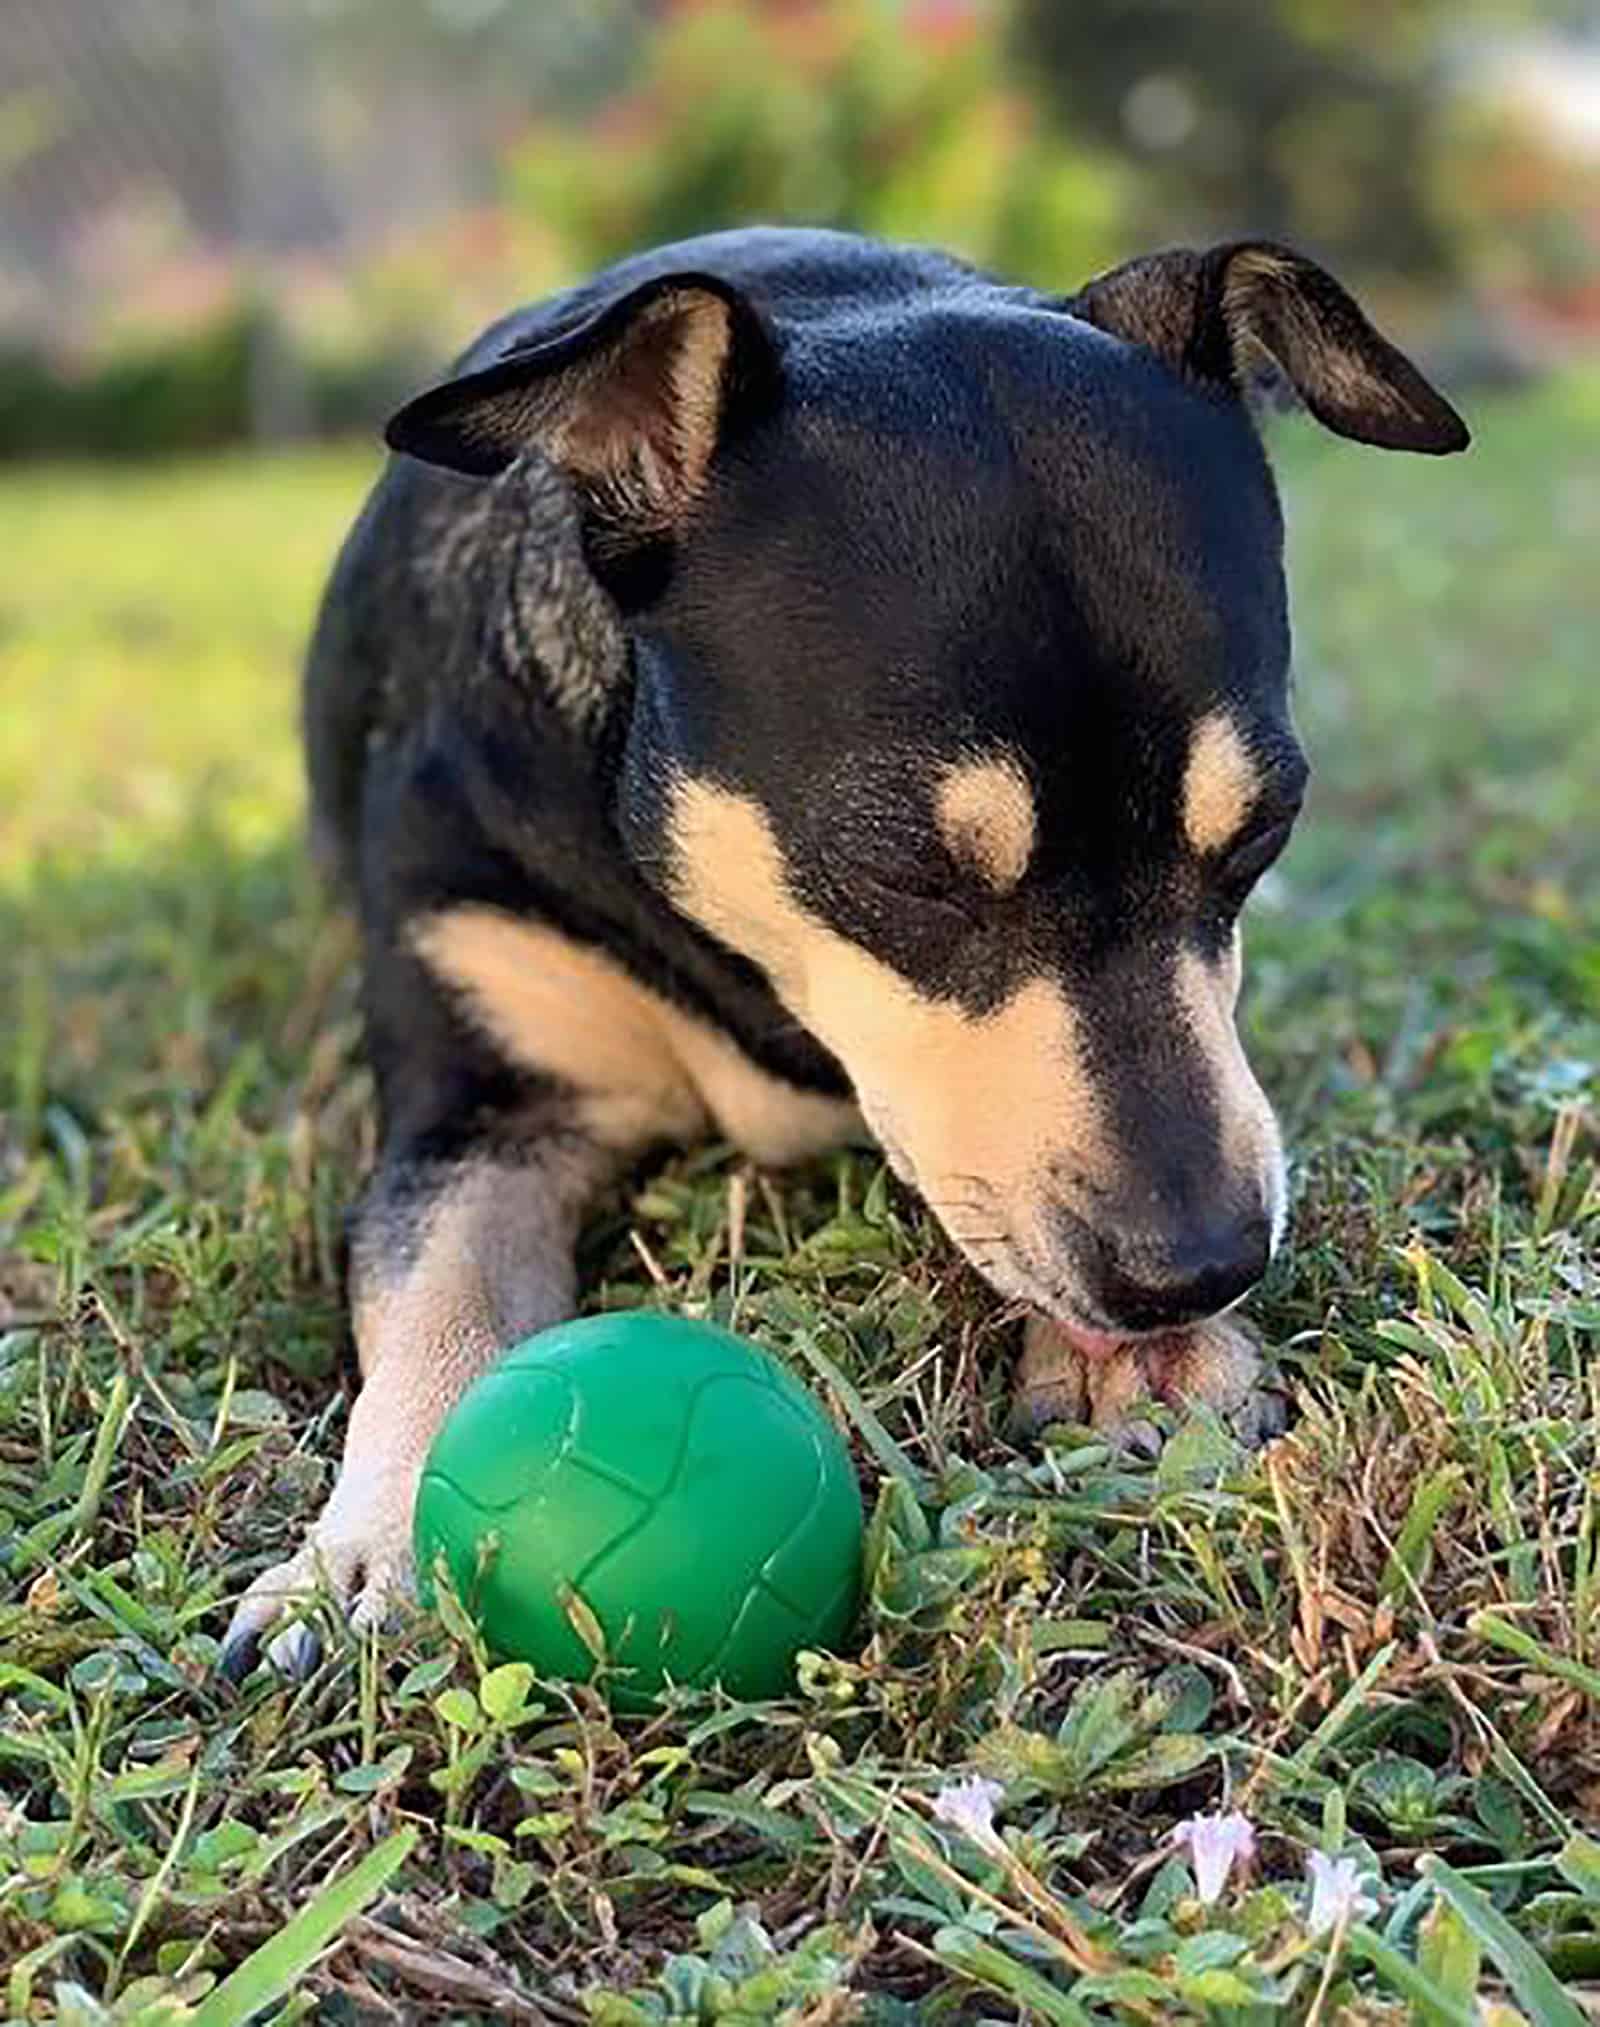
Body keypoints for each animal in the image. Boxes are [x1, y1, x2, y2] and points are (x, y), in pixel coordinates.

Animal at [217, 221, 1468, 1678]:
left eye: (1262, 829)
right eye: (905, 870)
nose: (1198, 1270)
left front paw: (1161, 1359)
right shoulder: (478, 1101)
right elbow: (437, 1292)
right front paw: (364, 1552)